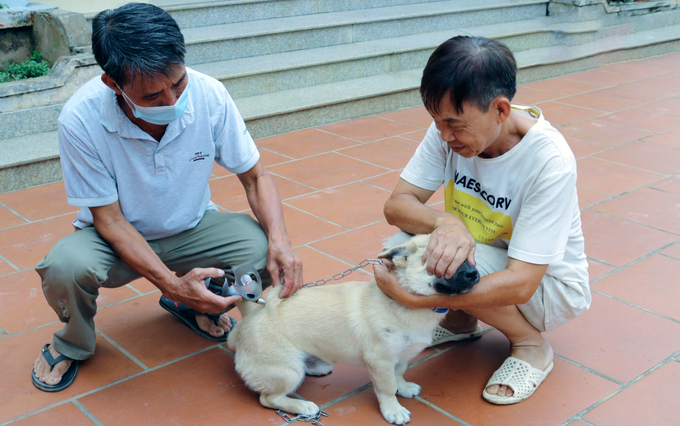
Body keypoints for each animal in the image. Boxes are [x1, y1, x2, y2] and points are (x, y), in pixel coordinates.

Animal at [227, 235, 478, 424]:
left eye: (469, 258)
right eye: (445, 263)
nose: (475, 274)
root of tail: (251, 317)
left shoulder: (400, 357)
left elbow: (399, 373)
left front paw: (404, 388)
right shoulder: (380, 361)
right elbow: (387, 387)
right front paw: (393, 410)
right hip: (288, 371)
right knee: (268, 398)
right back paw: (302, 406)